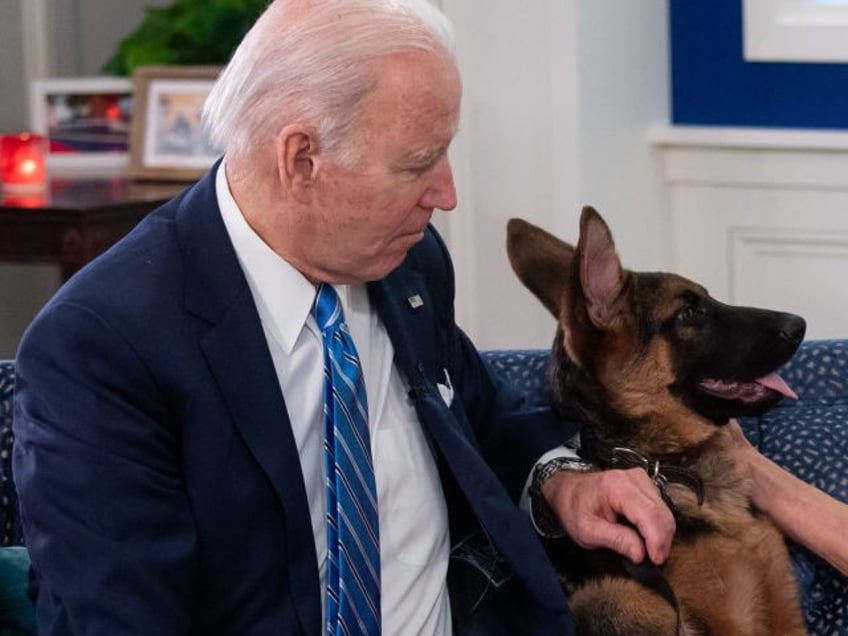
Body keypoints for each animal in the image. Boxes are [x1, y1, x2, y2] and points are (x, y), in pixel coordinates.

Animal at [506, 206, 804, 632]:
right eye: (689, 313)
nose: (800, 325)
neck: (662, 463)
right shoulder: (735, 621)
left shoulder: (785, 612)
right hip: (615, 597)